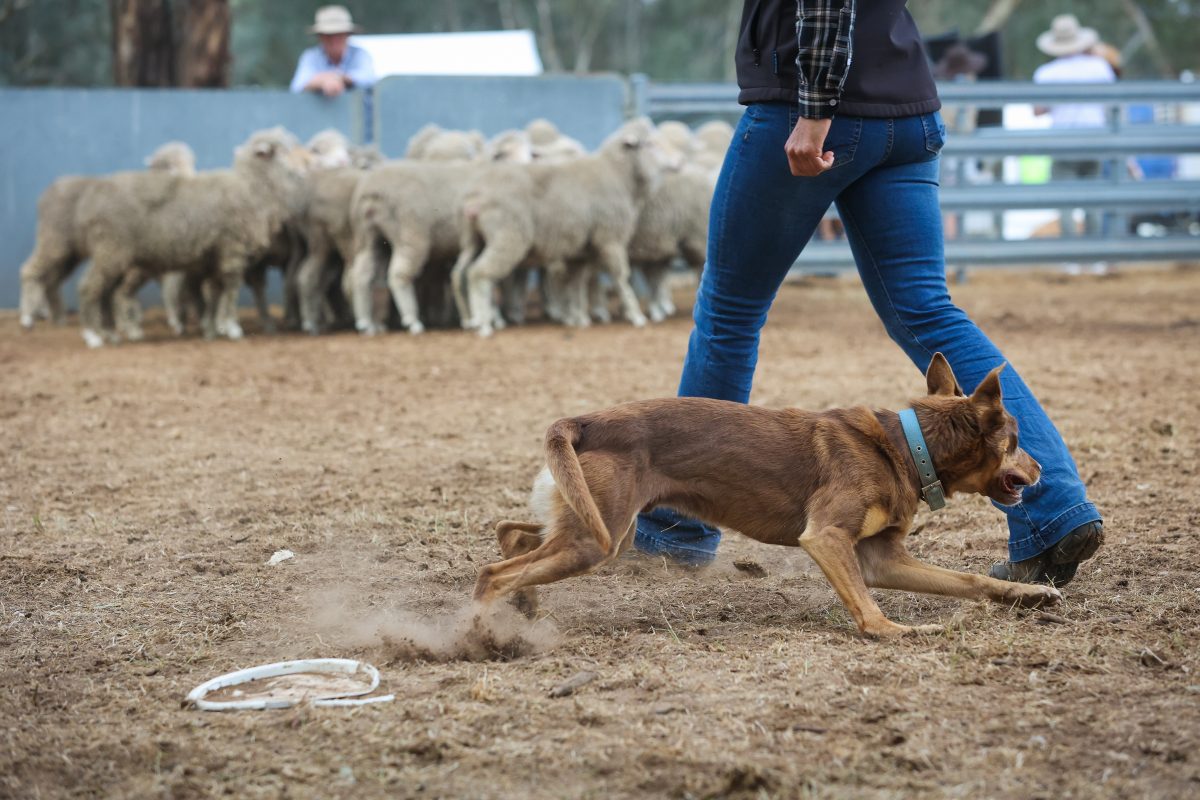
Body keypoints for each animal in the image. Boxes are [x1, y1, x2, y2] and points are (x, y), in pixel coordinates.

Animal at [472, 355, 1065, 638]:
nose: (1042, 469)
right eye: (1017, 441)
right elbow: (869, 611)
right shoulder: (827, 539)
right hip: (599, 536)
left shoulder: (880, 559)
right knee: (492, 574)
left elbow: (969, 580)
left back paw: (522, 607)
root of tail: (583, 421)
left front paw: (1032, 595)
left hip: (591, 522)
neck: (906, 444)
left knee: (512, 536)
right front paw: (898, 631)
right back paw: (482, 632)